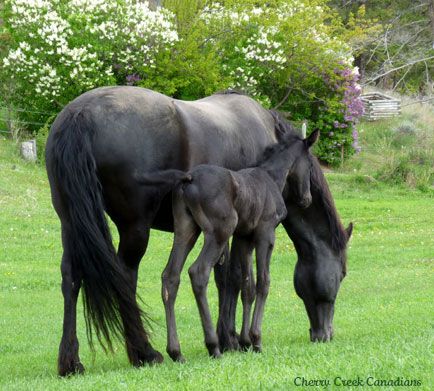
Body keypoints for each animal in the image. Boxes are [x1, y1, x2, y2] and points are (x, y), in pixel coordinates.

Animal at [135, 128, 318, 362]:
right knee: (198, 272)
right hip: (220, 230)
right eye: (310, 165)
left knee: (170, 276)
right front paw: (256, 339)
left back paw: (176, 352)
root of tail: (189, 178)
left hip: (186, 229)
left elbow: (247, 286)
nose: (307, 199)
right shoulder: (265, 233)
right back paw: (213, 345)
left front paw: (245, 341)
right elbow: (264, 282)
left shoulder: (244, 237)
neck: (272, 178)